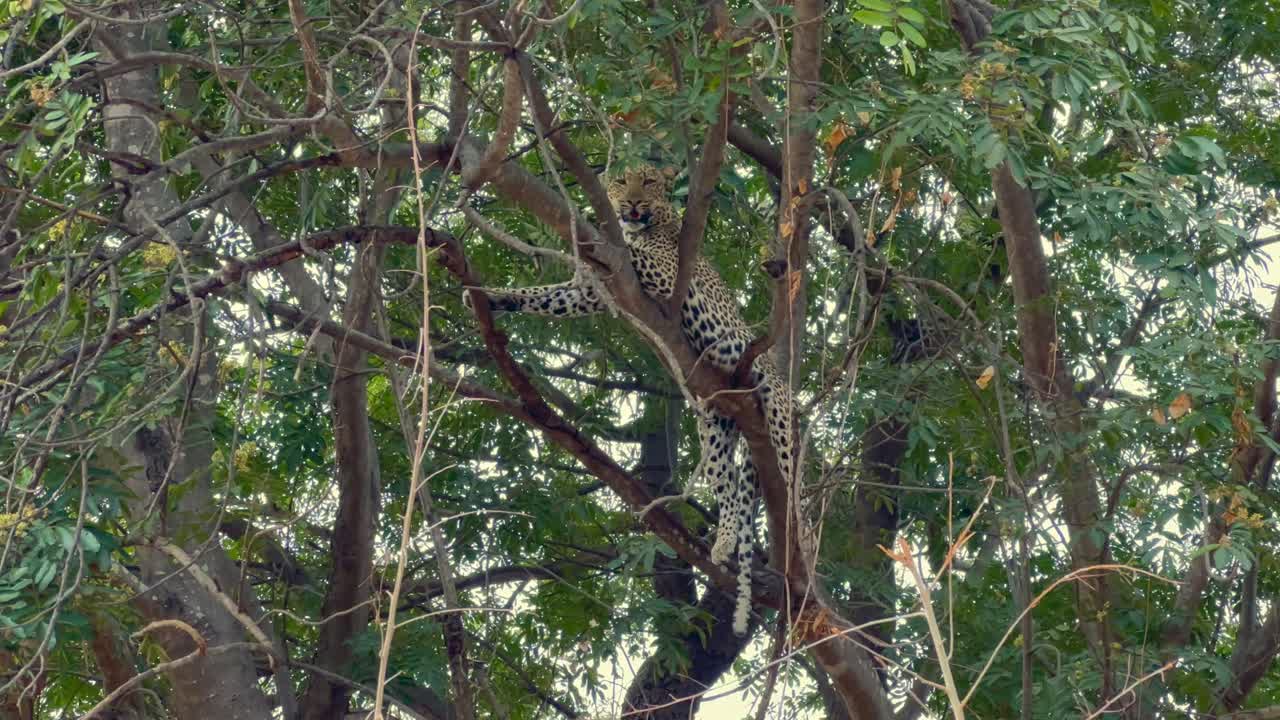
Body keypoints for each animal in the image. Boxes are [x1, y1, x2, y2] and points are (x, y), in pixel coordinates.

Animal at [467, 164, 795, 636]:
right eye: (622, 181)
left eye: (650, 183)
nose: (633, 204)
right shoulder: (588, 292)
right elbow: (550, 294)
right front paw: (497, 295)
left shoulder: (661, 272)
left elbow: (628, 257)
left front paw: (588, 244)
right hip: (715, 423)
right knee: (730, 485)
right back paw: (724, 542)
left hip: (778, 418)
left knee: (788, 483)